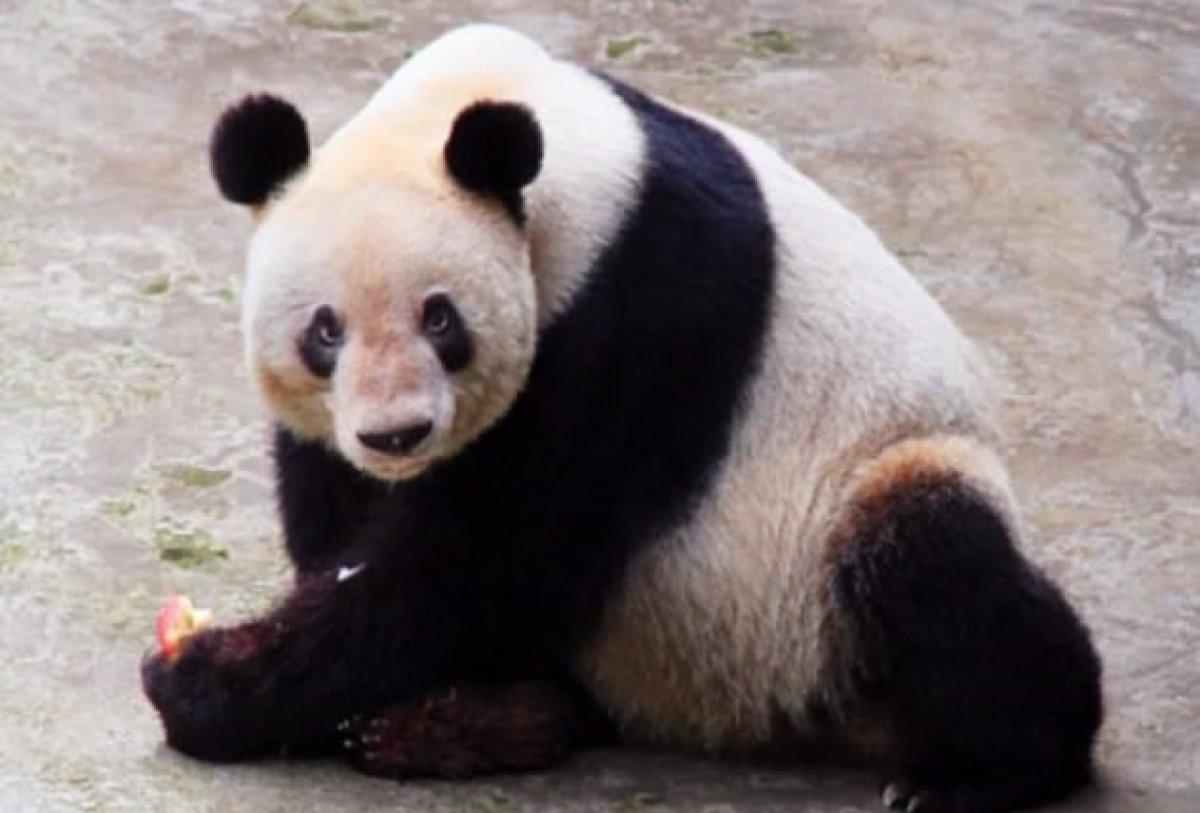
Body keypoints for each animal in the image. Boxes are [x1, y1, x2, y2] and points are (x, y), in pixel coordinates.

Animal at [142, 24, 1102, 813]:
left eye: (441, 318)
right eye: (325, 331)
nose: (396, 435)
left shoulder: (638, 307)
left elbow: (492, 554)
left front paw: (206, 679)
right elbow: (347, 520)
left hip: (852, 509)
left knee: (932, 559)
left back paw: (983, 768)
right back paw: (501, 715)